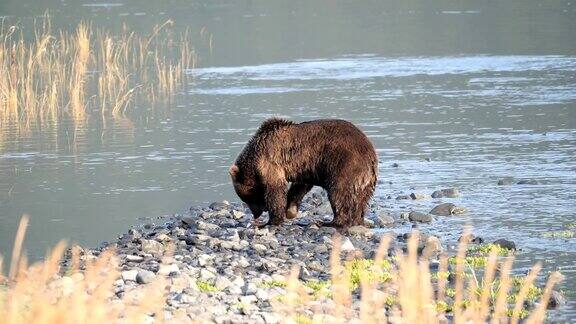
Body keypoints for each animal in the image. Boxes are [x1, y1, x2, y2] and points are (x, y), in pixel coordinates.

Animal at [230, 117, 378, 229]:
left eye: (246, 198)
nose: (256, 214)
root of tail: (370, 155)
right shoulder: (306, 167)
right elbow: (299, 187)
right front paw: (290, 210)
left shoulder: (271, 160)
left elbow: (275, 190)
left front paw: (270, 221)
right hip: (367, 180)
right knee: (362, 199)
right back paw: (358, 220)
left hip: (344, 165)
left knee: (339, 192)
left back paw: (330, 222)